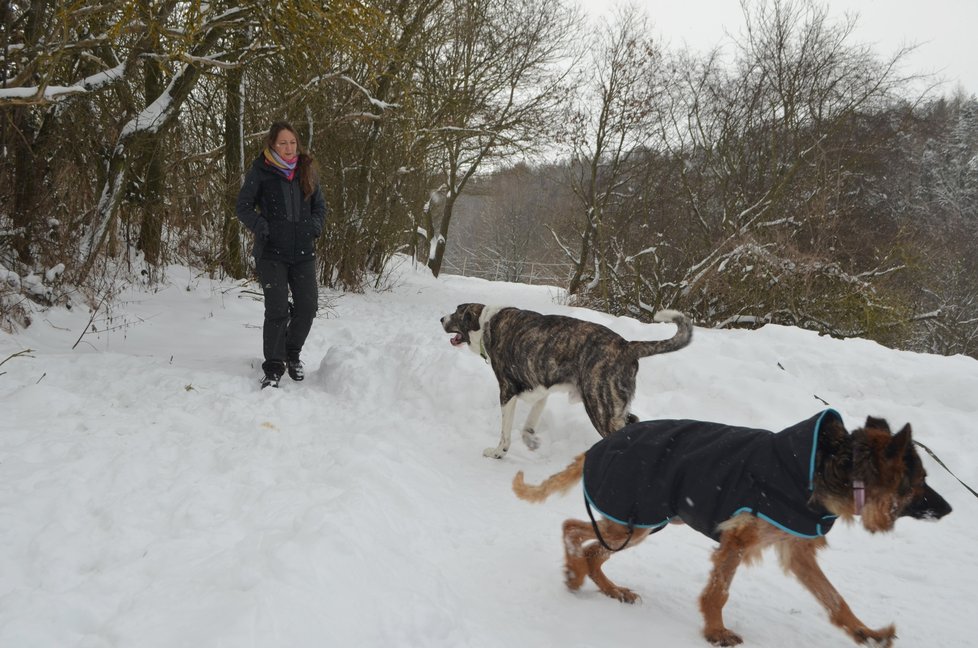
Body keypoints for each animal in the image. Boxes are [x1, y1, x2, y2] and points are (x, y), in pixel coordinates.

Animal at [438, 302, 692, 458]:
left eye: (457, 312)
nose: (441, 318)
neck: (486, 322)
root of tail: (627, 346)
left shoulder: (507, 391)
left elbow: (505, 433)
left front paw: (497, 452)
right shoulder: (540, 391)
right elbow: (527, 426)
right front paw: (531, 442)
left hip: (601, 408)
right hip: (615, 406)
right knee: (634, 422)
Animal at [516, 412, 948, 644]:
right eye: (921, 481)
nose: (949, 509)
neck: (828, 467)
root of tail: (598, 447)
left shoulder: (796, 550)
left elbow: (834, 599)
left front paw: (864, 632)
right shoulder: (737, 541)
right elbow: (718, 592)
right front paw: (715, 632)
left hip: (640, 524)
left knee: (592, 549)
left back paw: (610, 588)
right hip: (632, 520)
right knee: (573, 529)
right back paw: (574, 575)